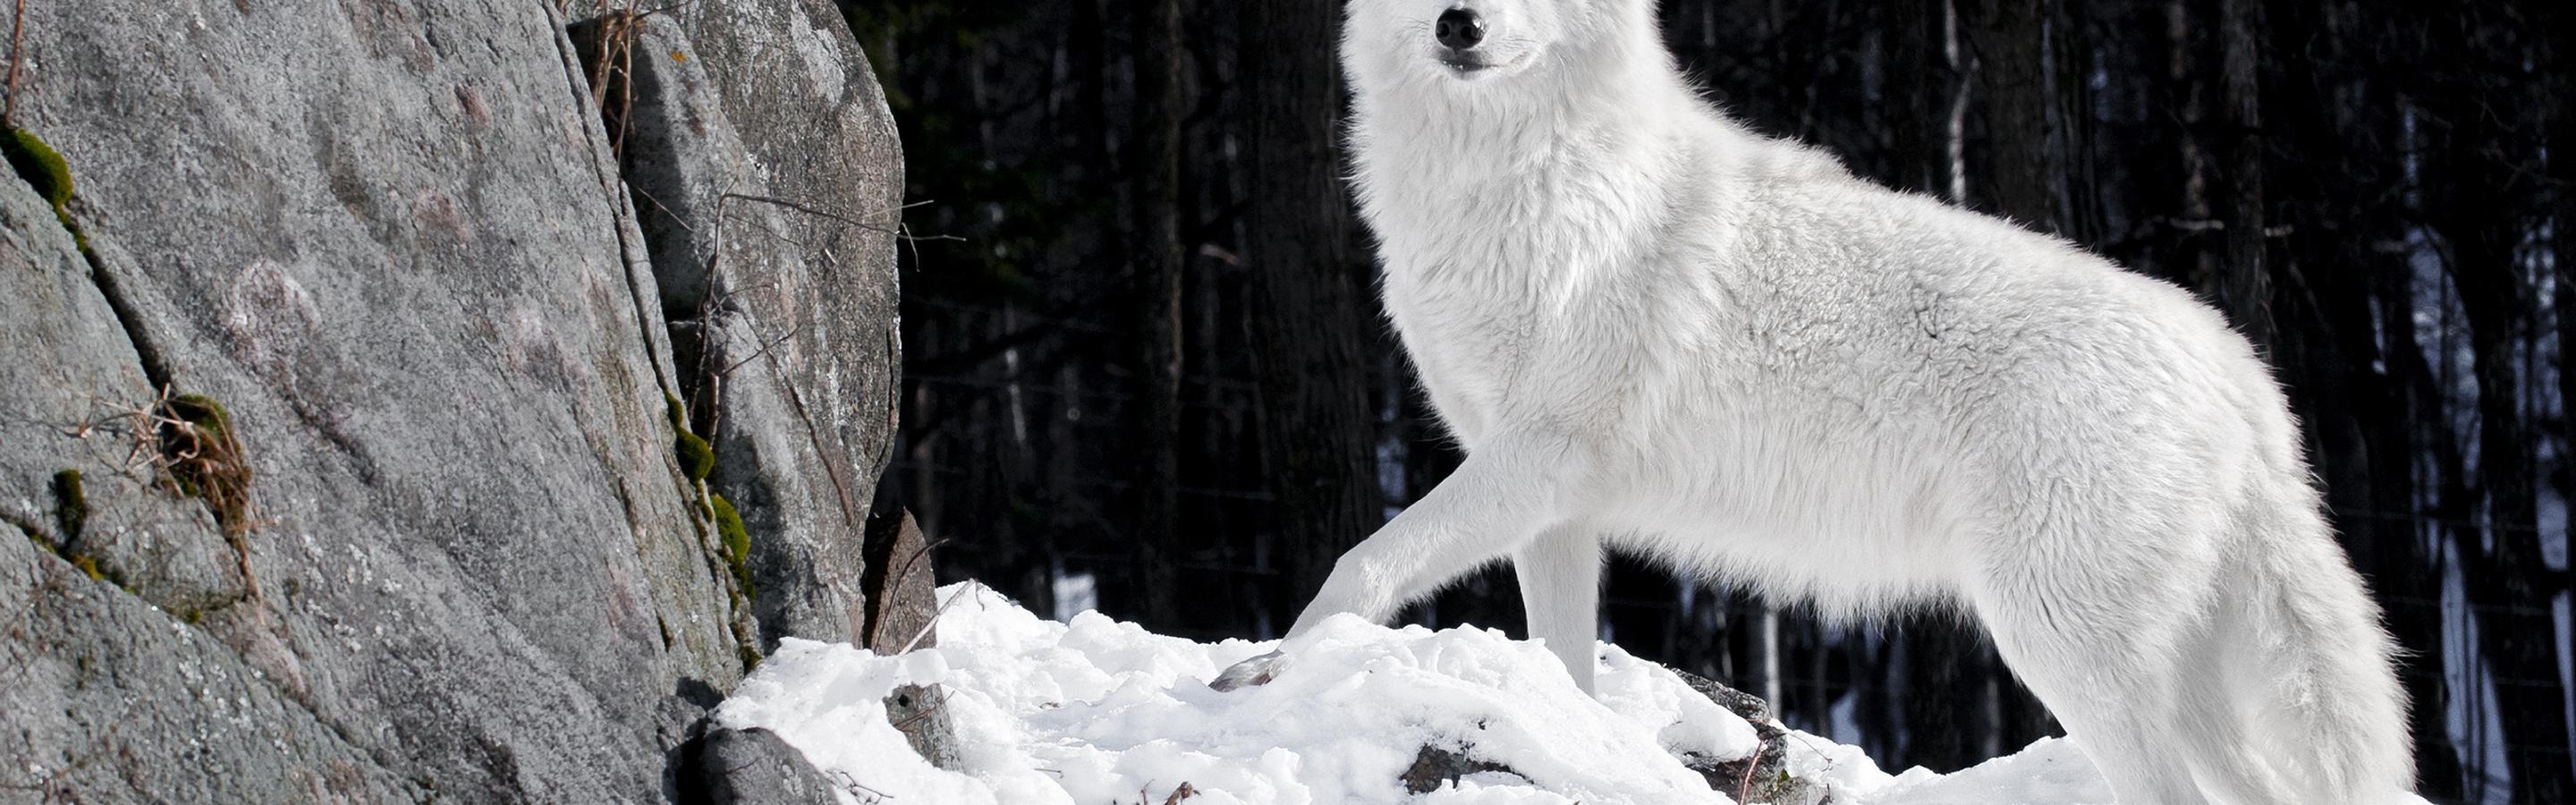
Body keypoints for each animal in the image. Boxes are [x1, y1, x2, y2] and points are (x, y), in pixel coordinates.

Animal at [1211, 0, 2415, 802]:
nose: (1459, 23)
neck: (1521, 187)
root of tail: (2238, 366)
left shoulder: (1534, 457)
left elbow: (1358, 566)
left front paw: (1262, 673)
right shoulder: (1553, 506)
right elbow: (1564, 664)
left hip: (2060, 647)